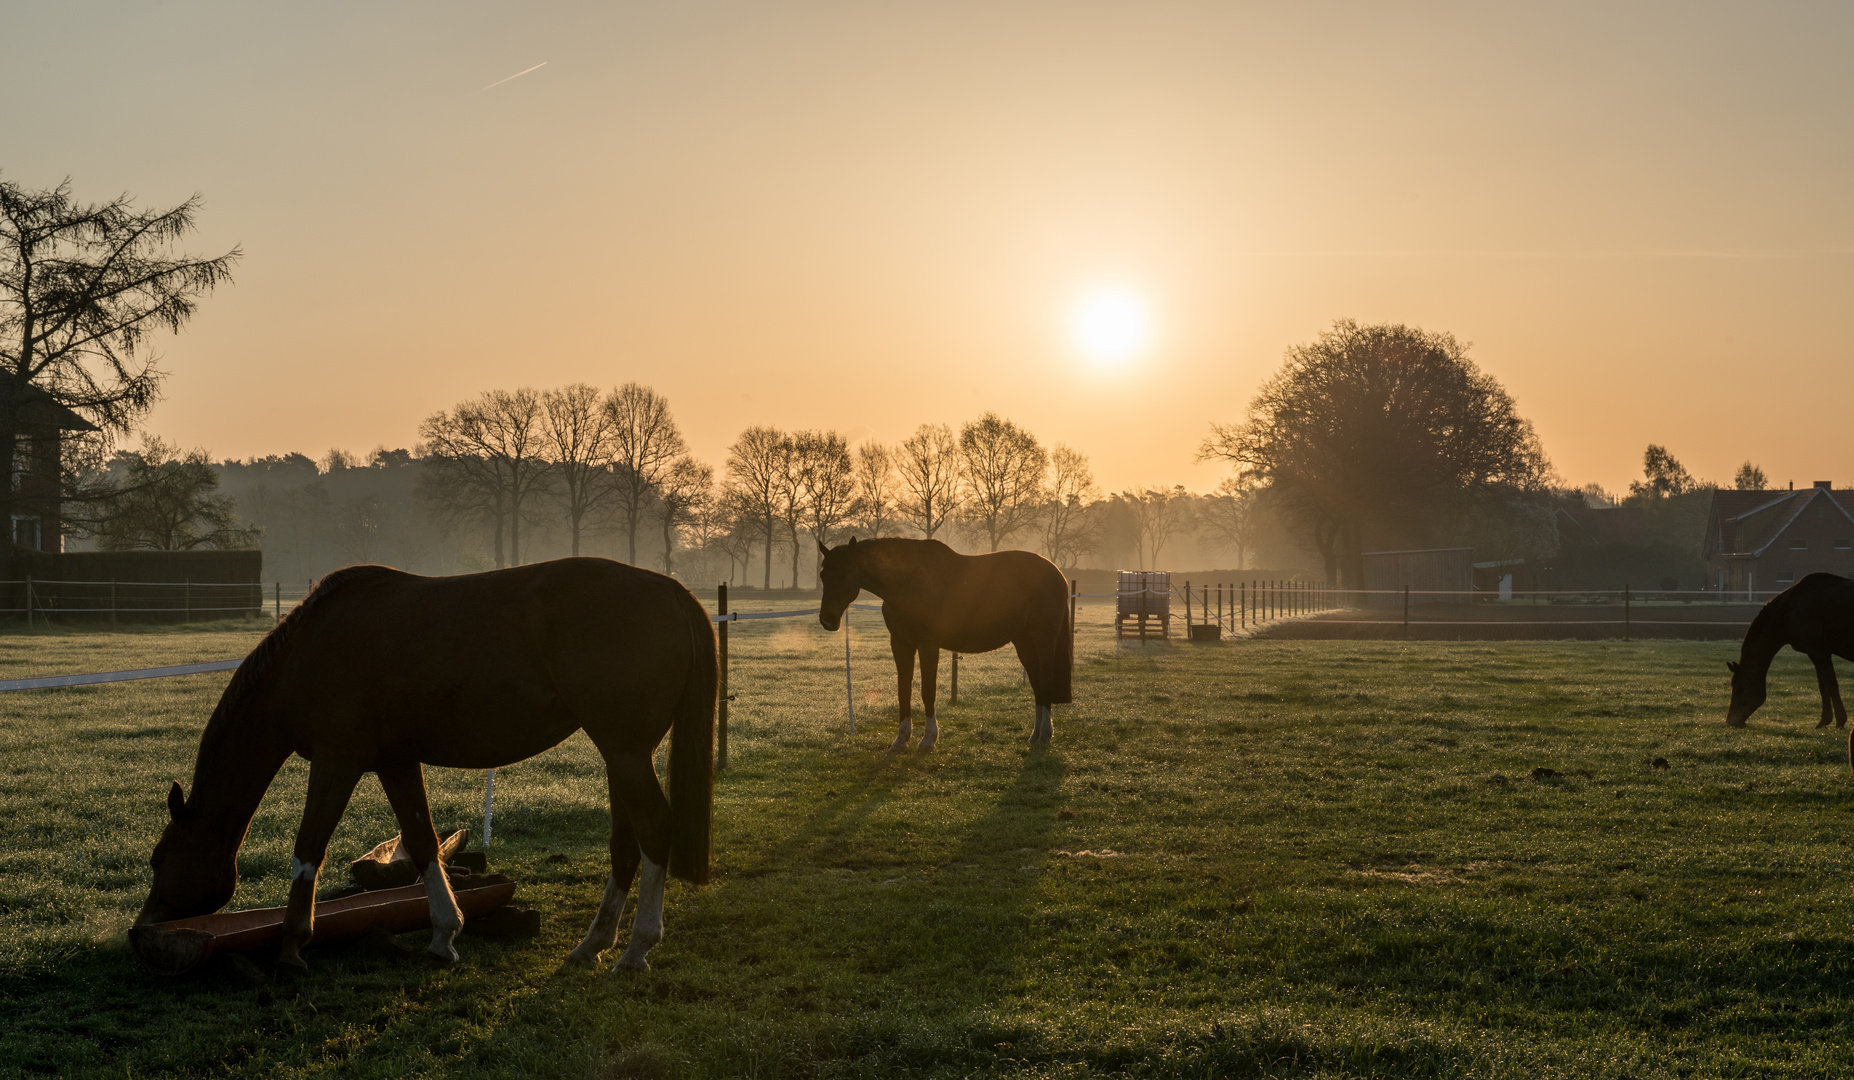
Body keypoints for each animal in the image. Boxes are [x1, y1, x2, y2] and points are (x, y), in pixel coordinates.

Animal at [130, 563, 708, 978]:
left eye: (159, 859)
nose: (140, 930)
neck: (306, 652)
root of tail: (672, 589)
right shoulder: (395, 762)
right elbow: (423, 840)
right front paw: (443, 935)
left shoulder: (338, 761)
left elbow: (309, 847)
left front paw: (293, 943)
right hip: (620, 756)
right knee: (626, 845)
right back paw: (593, 945)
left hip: (625, 753)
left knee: (655, 830)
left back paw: (636, 950)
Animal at [815, 537, 1075, 748]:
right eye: (823, 575)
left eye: (845, 573)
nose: (827, 619)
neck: (909, 583)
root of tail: (1056, 573)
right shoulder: (900, 644)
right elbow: (903, 690)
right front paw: (901, 739)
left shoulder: (928, 645)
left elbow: (928, 690)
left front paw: (928, 739)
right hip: (1024, 643)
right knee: (1037, 684)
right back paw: (1035, 735)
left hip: (1043, 640)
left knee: (1045, 680)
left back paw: (1045, 735)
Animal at [1720, 574, 1854, 752]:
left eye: (1739, 688)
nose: (1731, 721)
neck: (1789, 609)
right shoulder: (1817, 653)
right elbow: (1823, 687)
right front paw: (1824, 721)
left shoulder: (1818, 651)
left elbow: (1831, 685)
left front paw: (1840, 721)